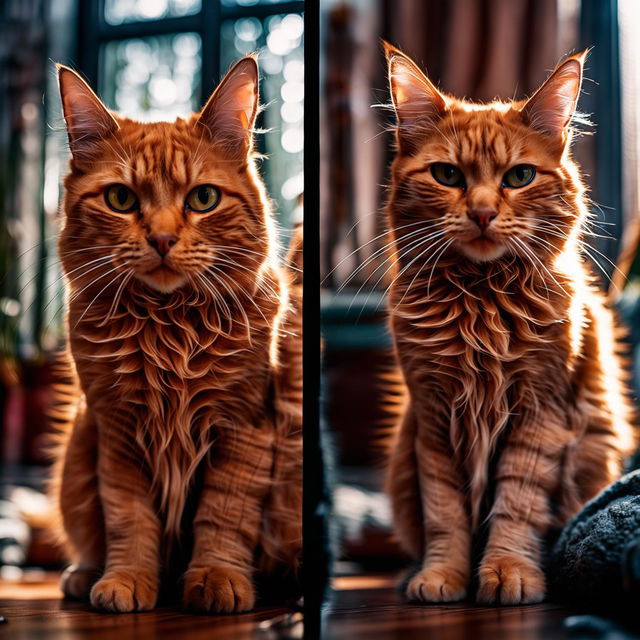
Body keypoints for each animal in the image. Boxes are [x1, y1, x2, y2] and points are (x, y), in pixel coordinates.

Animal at [49, 57, 300, 612]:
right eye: (120, 198)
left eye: (203, 198)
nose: (162, 239)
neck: (169, 327)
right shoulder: (116, 429)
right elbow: (129, 519)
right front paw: (126, 580)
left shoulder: (244, 425)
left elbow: (224, 515)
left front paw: (215, 578)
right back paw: (83, 573)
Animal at [382, 45, 632, 604]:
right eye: (447, 175)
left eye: (518, 178)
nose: (481, 213)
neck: (481, 303)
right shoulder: (433, 417)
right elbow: (445, 514)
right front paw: (442, 576)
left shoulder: (542, 413)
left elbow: (517, 507)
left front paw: (508, 571)